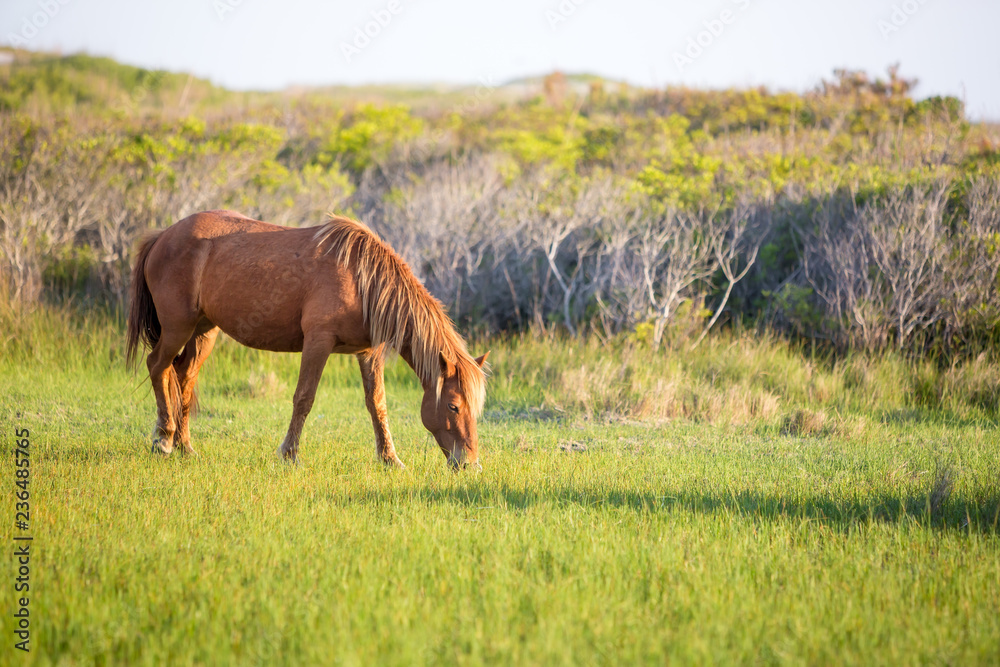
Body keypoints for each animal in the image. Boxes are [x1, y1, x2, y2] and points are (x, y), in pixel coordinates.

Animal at [125, 210, 489, 469]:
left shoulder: (368, 352)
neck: (361, 280)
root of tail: (162, 236)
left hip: (203, 332)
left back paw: (185, 447)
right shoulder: (318, 342)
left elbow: (377, 404)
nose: (470, 464)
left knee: (183, 379)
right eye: (454, 406)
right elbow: (304, 398)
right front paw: (289, 454)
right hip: (178, 328)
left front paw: (390, 459)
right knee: (157, 367)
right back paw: (164, 440)